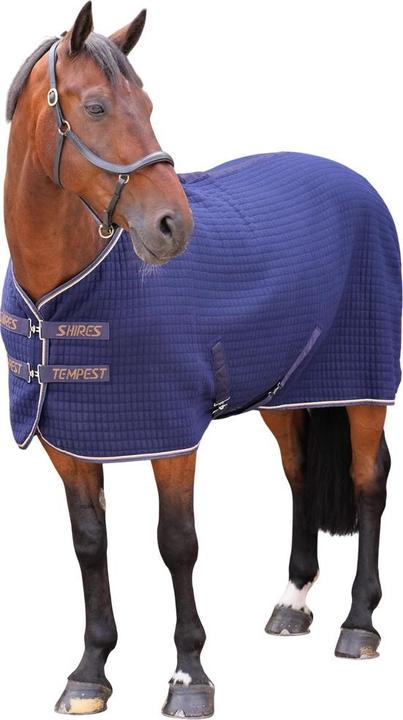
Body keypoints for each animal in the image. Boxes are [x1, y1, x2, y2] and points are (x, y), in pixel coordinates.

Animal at [2, 3, 401, 718]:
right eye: (96, 106)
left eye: (149, 104)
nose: (172, 226)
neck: (66, 294)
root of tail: (355, 181)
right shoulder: (67, 441)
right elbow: (90, 545)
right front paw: (90, 672)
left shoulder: (173, 437)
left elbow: (177, 544)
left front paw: (189, 676)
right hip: (283, 391)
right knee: (300, 473)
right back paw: (293, 602)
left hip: (363, 385)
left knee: (368, 482)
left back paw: (359, 624)